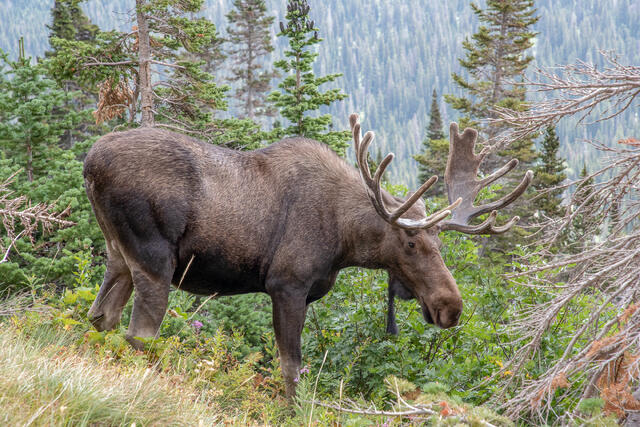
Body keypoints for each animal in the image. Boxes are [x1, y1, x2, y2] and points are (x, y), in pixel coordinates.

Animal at [83, 113, 532, 398]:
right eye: (410, 242)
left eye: (439, 245)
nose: (450, 307)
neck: (344, 240)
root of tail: (89, 163)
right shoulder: (287, 284)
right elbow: (291, 368)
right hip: (154, 257)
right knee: (140, 334)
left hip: (118, 255)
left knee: (100, 316)